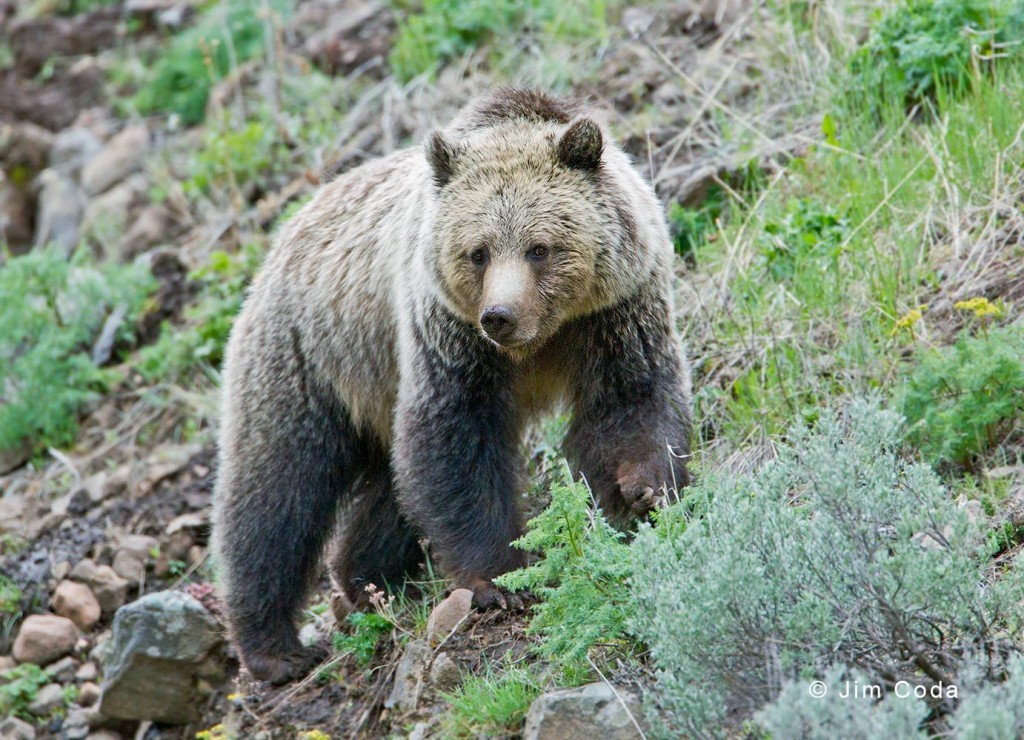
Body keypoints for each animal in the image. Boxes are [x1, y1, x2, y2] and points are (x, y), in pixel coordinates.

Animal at [212, 88, 693, 684]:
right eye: (478, 251)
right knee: (275, 493)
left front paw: (643, 489)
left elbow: (631, 401)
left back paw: (363, 581)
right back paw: (275, 647)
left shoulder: (614, 314)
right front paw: (500, 579)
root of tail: (280, 239)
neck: (541, 340)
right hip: (310, 360)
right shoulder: (449, 339)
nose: (500, 315)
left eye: (539, 247)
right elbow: (453, 445)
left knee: (387, 489)